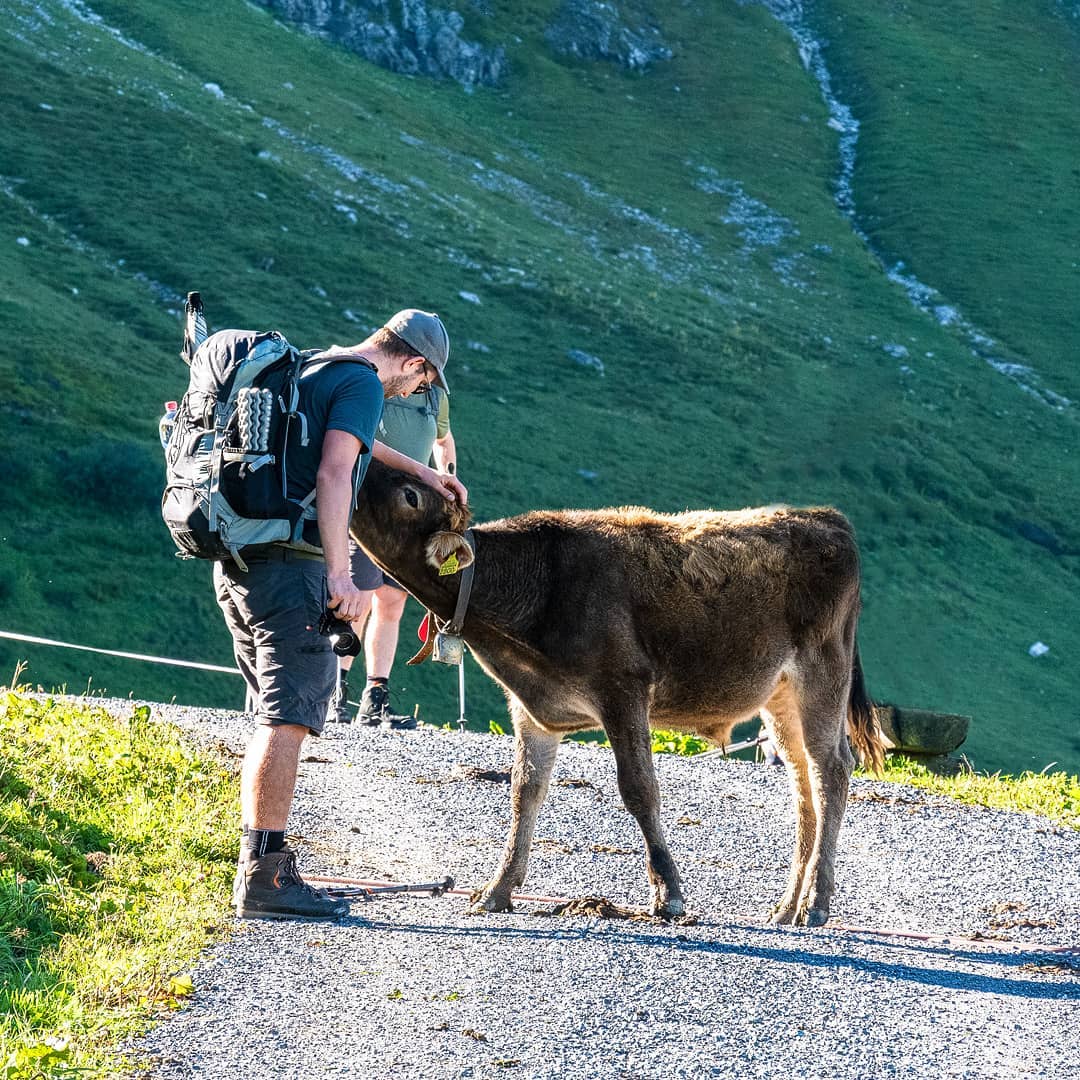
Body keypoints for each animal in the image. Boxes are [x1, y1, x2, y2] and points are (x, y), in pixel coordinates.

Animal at [350, 460, 884, 926]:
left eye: (410, 495)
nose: (361, 459)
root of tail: (824, 517)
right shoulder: (532, 710)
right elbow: (525, 792)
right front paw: (497, 889)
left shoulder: (623, 688)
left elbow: (639, 790)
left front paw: (668, 893)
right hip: (780, 697)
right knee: (802, 784)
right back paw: (787, 907)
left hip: (822, 675)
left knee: (831, 770)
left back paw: (815, 903)